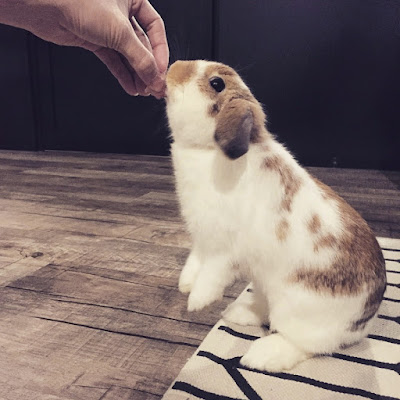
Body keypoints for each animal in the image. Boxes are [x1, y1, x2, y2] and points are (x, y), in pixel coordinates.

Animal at [164, 59, 386, 372]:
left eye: (216, 83)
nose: (172, 67)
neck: (207, 153)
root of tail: (365, 321)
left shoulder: (224, 251)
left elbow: (211, 275)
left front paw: (197, 301)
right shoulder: (202, 241)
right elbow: (194, 262)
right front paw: (185, 284)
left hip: (300, 314)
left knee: (305, 345)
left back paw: (261, 356)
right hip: (263, 282)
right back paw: (239, 312)